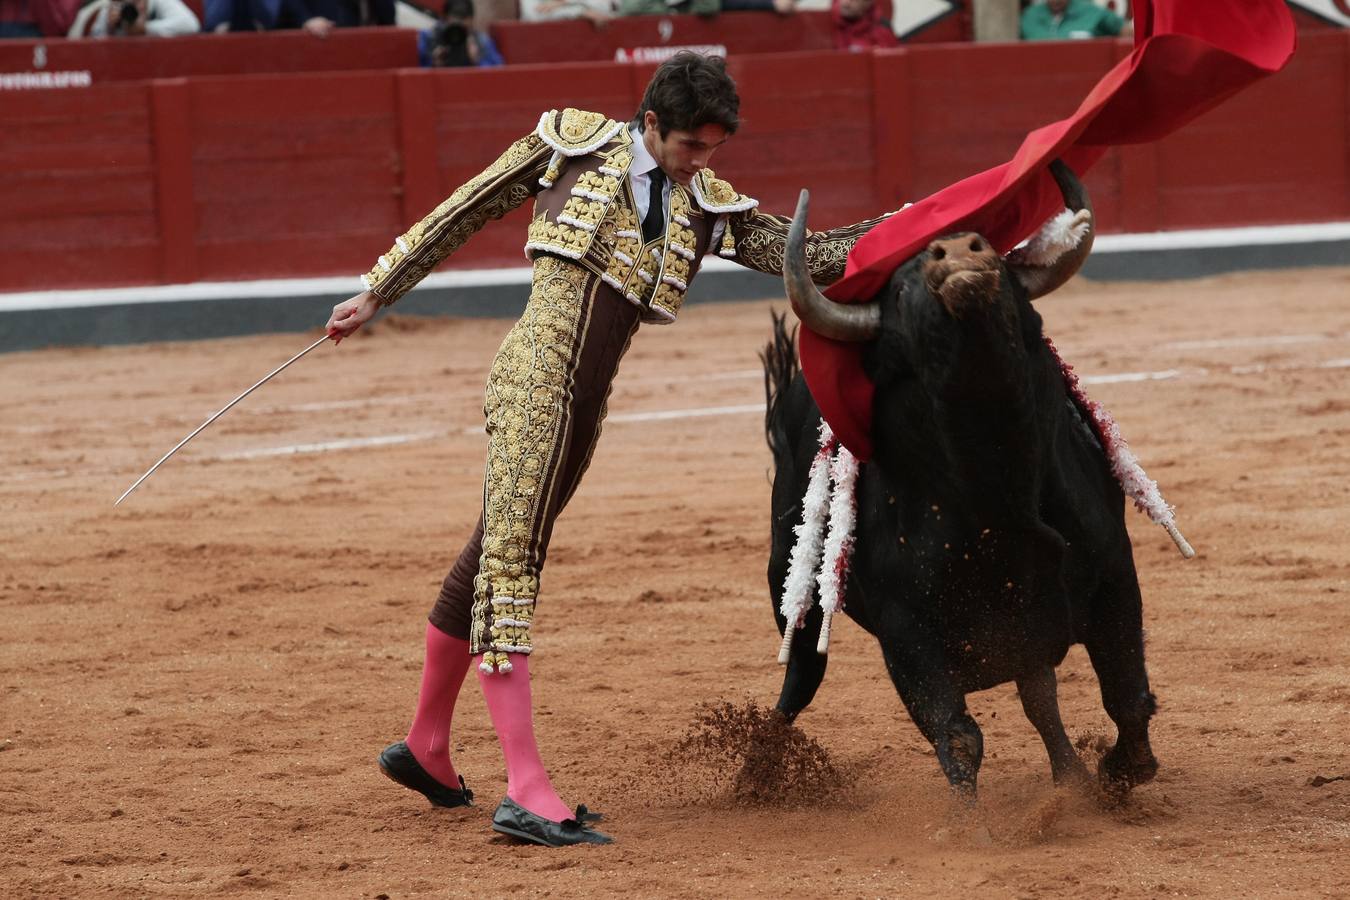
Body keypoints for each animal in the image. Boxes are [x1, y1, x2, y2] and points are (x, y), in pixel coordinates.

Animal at [766, 161, 1155, 793]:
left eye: (998, 258)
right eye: (899, 290)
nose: (954, 250)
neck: (994, 483)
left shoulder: (1114, 577)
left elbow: (1127, 696)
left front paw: (1116, 775)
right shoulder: (907, 632)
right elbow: (957, 735)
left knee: (1039, 694)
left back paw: (1071, 778)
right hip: (788, 576)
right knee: (800, 673)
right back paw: (759, 765)